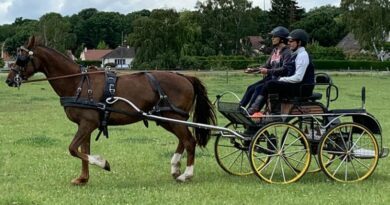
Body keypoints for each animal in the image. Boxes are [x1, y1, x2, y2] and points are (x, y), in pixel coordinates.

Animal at [5, 36, 216, 185]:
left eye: (22, 59)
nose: (8, 79)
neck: (78, 83)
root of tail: (186, 77)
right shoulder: (86, 125)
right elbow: (83, 150)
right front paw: (83, 178)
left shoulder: (88, 124)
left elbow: (73, 149)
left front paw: (102, 163)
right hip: (168, 119)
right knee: (183, 140)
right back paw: (175, 167)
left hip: (172, 117)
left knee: (189, 141)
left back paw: (186, 174)